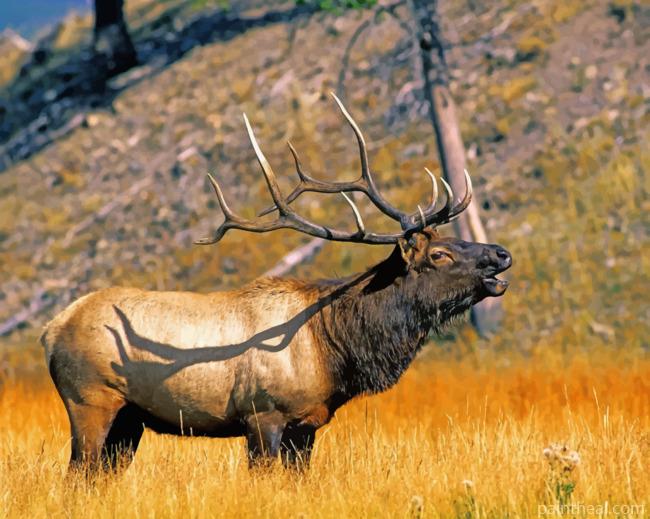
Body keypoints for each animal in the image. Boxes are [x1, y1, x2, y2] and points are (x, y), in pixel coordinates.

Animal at [41, 94, 511, 473]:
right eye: (439, 254)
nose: (502, 254)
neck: (333, 348)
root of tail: (51, 329)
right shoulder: (262, 413)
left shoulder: (308, 424)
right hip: (89, 401)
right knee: (77, 474)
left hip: (129, 419)